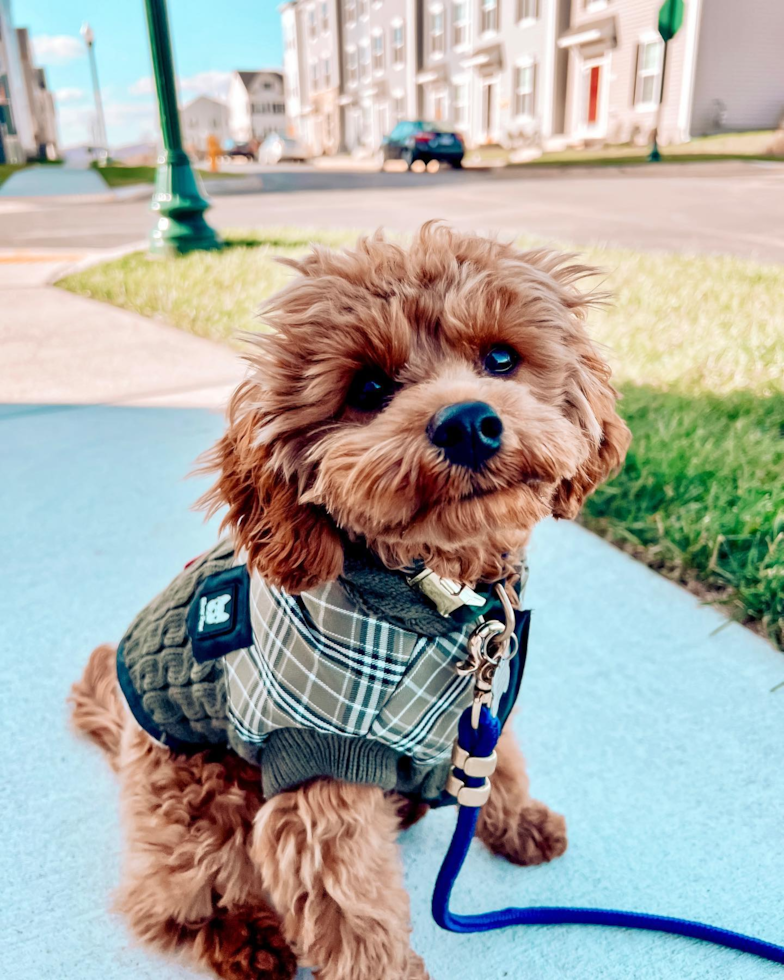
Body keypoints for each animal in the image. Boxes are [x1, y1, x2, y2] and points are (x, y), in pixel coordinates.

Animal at [70, 224, 628, 980]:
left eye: (501, 358)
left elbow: (500, 762)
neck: (432, 594)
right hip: (198, 794)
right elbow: (352, 910)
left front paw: (518, 823)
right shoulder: (317, 763)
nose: (467, 422)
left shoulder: (483, 697)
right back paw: (245, 938)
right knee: (174, 899)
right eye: (368, 387)